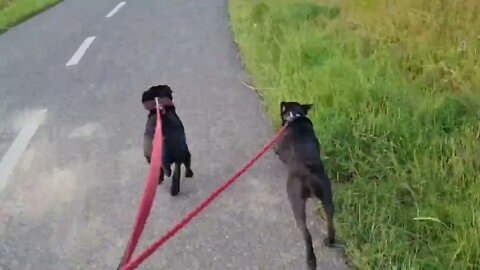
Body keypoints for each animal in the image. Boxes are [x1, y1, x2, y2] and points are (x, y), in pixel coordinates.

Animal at [274, 101, 338, 270]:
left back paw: (311, 261)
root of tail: (307, 172)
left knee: (306, 234)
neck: (295, 117)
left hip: (296, 202)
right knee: (330, 221)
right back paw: (330, 240)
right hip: (327, 196)